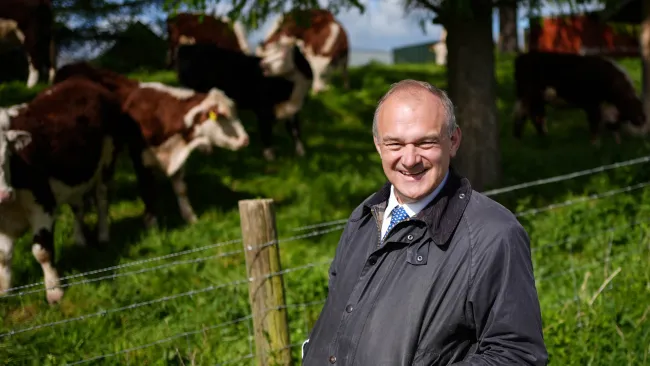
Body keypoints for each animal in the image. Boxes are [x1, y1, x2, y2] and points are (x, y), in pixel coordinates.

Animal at [52, 62, 251, 226]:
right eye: (222, 116)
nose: (245, 140)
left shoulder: (177, 158)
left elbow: (181, 189)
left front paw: (190, 217)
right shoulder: (139, 155)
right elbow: (147, 188)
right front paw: (151, 223)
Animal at [175, 40, 312, 161]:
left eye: (283, 54)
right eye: (268, 52)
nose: (263, 65)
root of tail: (188, 47)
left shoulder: (293, 111)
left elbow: (295, 131)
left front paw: (301, 153)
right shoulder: (263, 109)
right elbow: (266, 131)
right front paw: (270, 156)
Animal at [512, 50, 644, 144]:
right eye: (633, 105)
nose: (643, 119)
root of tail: (522, 57)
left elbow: (612, 126)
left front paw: (617, 144)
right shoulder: (592, 105)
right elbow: (595, 124)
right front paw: (595, 144)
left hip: (534, 98)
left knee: (533, 115)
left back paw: (537, 137)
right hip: (530, 96)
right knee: (527, 114)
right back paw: (522, 139)